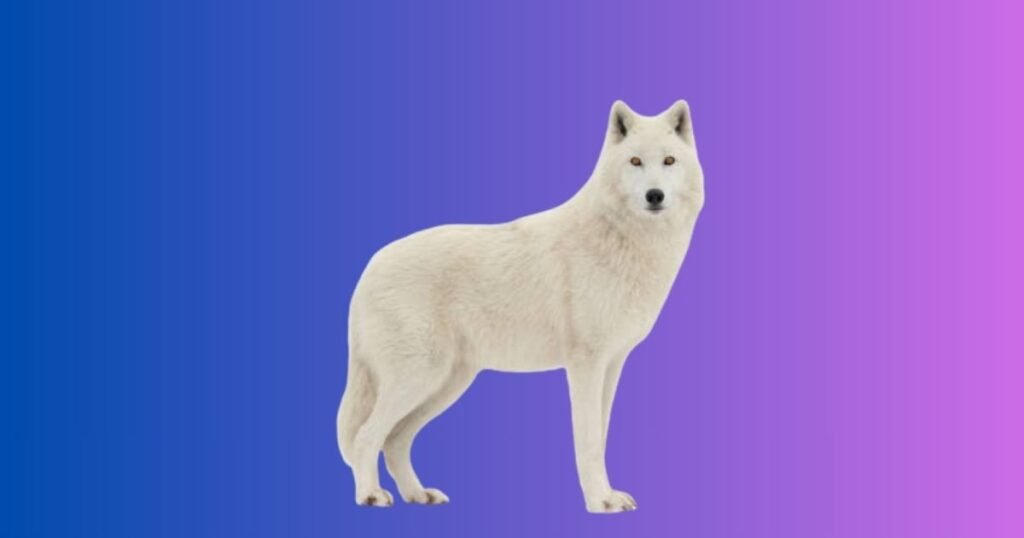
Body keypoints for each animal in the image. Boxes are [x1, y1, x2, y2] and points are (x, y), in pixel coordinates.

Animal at [337, 100, 704, 513]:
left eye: (669, 160)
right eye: (636, 161)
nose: (654, 195)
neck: (625, 238)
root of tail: (369, 268)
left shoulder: (612, 364)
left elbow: (601, 436)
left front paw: (607, 495)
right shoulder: (585, 366)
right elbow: (588, 441)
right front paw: (599, 502)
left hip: (445, 384)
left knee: (395, 440)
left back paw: (418, 494)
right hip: (419, 378)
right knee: (367, 436)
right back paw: (370, 495)